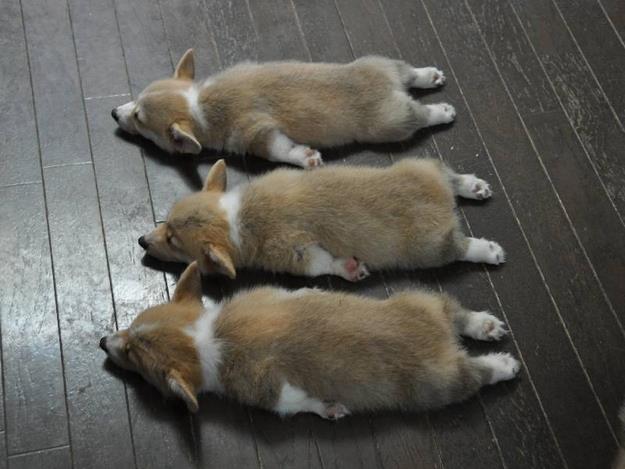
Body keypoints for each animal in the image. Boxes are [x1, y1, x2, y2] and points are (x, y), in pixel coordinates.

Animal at [100, 262, 520, 416]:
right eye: (130, 326)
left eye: (132, 355)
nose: (103, 342)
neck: (207, 336)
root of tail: (444, 341)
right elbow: (297, 293)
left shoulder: (271, 394)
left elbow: (297, 402)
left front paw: (330, 408)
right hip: (422, 298)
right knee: (455, 311)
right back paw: (484, 325)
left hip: (439, 386)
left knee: (476, 374)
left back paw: (502, 364)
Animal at [111, 49, 456, 168]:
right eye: (136, 100)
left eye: (139, 118)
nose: (113, 113)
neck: (199, 103)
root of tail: (393, 88)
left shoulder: (257, 133)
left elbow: (281, 149)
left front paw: (307, 158)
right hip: (381, 62)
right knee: (408, 72)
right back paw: (430, 76)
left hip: (391, 123)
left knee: (420, 115)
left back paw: (443, 111)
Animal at [138, 158, 504, 280]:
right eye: (165, 222)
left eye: (172, 241)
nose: (141, 241)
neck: (236, 217)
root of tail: (444, 205)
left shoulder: (295, 253)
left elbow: (321, 265)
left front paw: (350, 268)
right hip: (422, 166)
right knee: (447, 175)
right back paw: (472, 185)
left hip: (430, 248)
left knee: (460, 247)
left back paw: (488, 250)